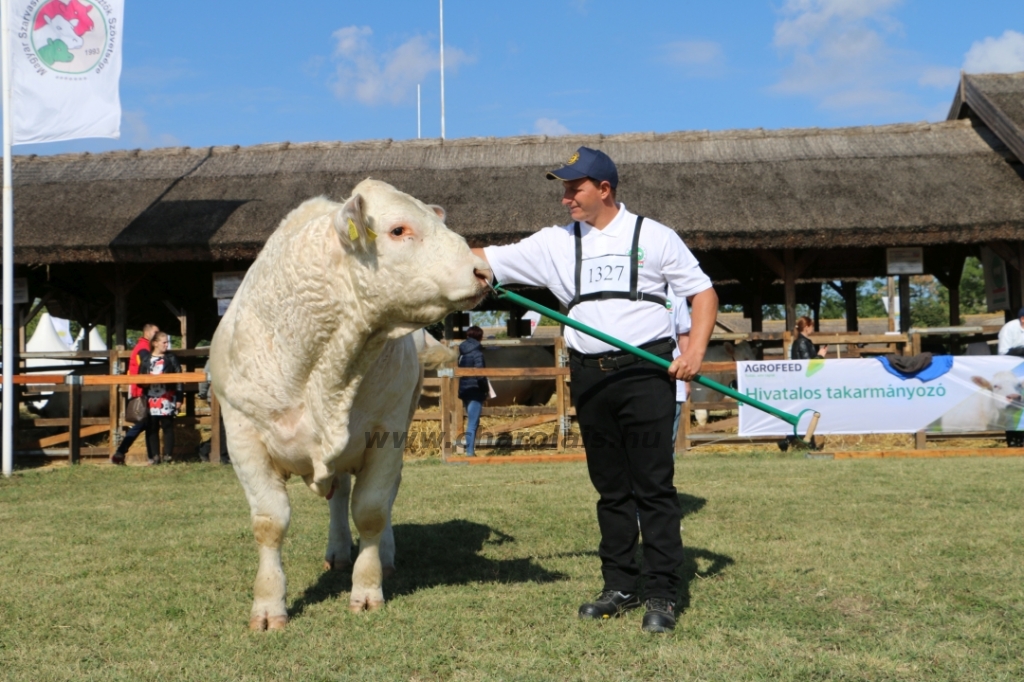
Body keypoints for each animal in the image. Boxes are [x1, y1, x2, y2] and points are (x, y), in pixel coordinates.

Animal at [209, 178, 489, 630]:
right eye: (398, 230)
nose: (484, 271)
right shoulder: (243, 434)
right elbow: (270, 522)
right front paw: (268, 605)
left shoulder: (386, 432)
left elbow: (372, 510)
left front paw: (368, 589)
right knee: (339, 494)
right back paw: (338, 550)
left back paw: (384, 555)